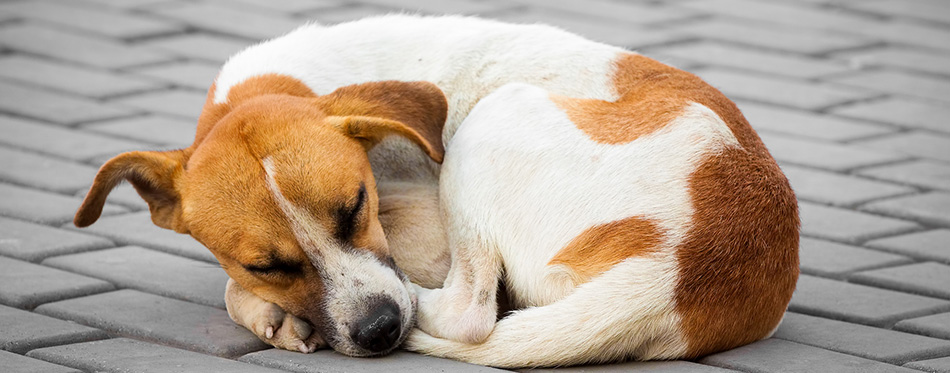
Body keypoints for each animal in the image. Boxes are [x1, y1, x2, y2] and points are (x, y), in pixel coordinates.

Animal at [76, 14, 804, 366]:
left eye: (356, 208)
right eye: (268, 264)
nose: (378, 330)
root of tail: (679, 273)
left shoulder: (418, 229)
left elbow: (229, 291)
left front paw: (268, 313)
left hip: (495, 120)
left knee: (471, 313)